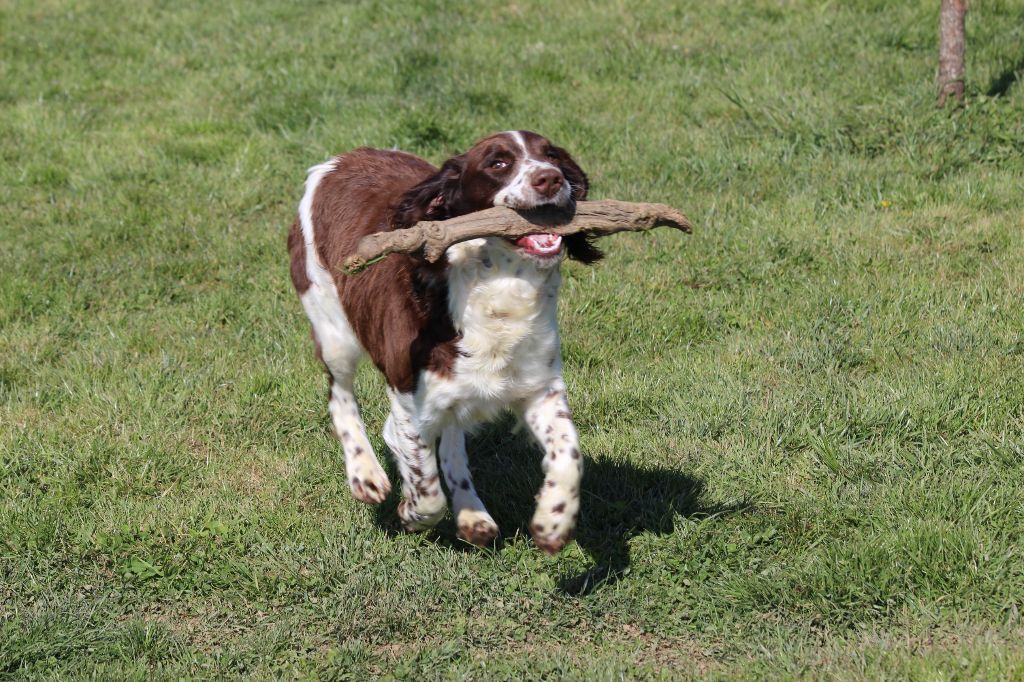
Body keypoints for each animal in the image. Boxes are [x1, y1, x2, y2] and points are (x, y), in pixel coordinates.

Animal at [284, 130, 602, 548]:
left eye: (550, 154)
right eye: (498, 163)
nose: (549, 178)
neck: (498, 288)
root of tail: (341, 159)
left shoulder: (540, 386)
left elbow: (569, 454)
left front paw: (554, 521)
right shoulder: (409, 394)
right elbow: (427, 491)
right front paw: (409, 512)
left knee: (448, 433)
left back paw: (472, 512)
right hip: (332, 327)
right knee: (341, 395)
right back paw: (365, 473)